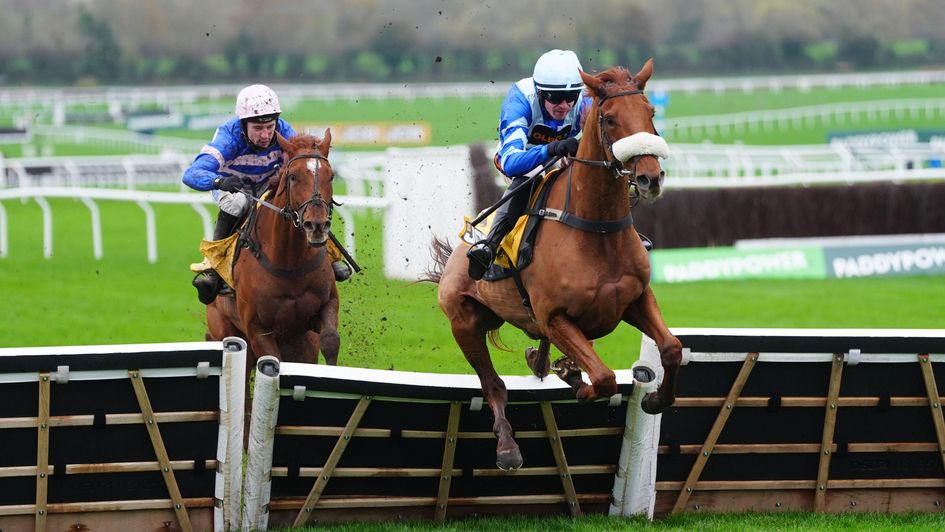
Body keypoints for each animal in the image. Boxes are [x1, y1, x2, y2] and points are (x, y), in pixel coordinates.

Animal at [206, 131, 340, 396]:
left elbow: (331, 340)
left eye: (331, 176)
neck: (289, 263)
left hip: (300, 342)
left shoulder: (324, 307)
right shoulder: (257, 328)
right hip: (225, 330)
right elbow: (270, 363)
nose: (317, 225)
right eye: (292, 176)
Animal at [425, 61, 682, 470]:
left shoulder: (636, 300)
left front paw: (656, 398)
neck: (596, 229)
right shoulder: (555, 317)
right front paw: (579, 382)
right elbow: (604, 378)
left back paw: (551, 363)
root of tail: (453, 261)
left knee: (539, 360)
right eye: (609, 119)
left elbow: (672, 347)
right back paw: (508, 446)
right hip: (464, 323)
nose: (649, 177)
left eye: (651, 113)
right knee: (493, 384)